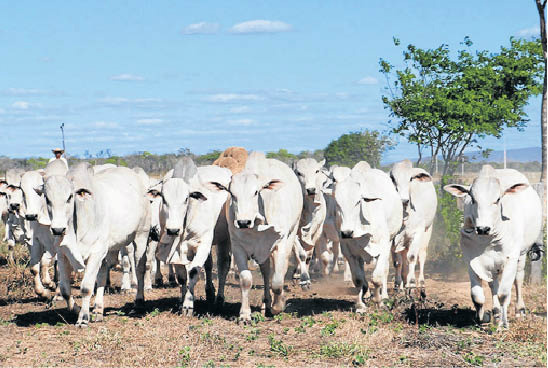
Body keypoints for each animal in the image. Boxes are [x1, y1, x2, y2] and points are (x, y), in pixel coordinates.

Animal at [43, 162, 150, 326]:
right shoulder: (62, 255)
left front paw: (83, 318)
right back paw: (98, 310)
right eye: (47, 198)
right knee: (102, 275)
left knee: (139, 268)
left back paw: (138, 302)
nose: (58, 229)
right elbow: (65, 289)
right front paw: (76, 310)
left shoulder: (96, 252)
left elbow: (86, 287)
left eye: (69, 197)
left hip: (141, 236)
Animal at [220, 151, 302, 320]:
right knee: (265, 271)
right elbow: (246, 280)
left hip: (291, 235)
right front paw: (245, 315)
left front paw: (278, 306)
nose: (243, 222)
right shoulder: (238, 247)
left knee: (279, 270)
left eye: (256, 192)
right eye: (232, 194)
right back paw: (266, 303)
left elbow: (277, 281)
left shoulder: (280, 244)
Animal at [390, 160, 436, 292]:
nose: (404, 201)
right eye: (392, 178)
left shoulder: (417, 233)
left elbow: (412, 257)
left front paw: (411, 284)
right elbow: (397, 262)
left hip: (427, 230)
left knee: (421, 256)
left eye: (410, 178)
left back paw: (420, 282)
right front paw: (398, 285)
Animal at [446, 166, 544, 328]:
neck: (489, 239)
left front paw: (503, 325)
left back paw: (519, 310)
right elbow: (478, 296)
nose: (483, 228)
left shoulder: (511, 258)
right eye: (473, 199)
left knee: (518, 278)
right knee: (494, 285)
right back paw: (496, 312)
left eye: (498, 199)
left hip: (521, 255)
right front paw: (483, 318)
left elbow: (504, 294)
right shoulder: (472, 261)